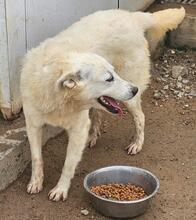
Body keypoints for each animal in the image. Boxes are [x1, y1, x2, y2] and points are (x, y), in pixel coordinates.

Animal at [20, 7, 185, 201]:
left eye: (114, 74)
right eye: (109, 79)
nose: (134, 89)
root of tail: (132, 16)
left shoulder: (78, 129)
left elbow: (68, 164)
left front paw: (60, 189)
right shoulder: (33, 125)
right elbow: (36, 158)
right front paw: (36, 182)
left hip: (130, 97)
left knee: (140, 117)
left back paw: (137, 143)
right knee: (98, 115)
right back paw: (93, 136)